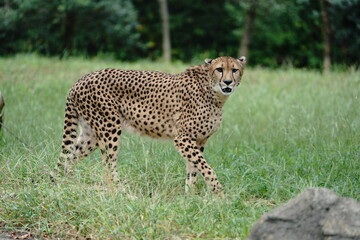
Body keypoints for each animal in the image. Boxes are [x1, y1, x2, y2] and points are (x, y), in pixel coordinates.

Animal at [53, 55, 246, 193]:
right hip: (109, 128)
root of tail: (81, 79)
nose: (228, 82)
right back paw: (120, 191)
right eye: (219, 69)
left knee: (69, 158)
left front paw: (190, 195)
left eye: (234, 70)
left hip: (91, 134)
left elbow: (194, 169)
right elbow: (205, 167)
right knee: (108, 165)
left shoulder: (198, 140)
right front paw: (218, 192)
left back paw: (66, 185)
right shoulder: (182, 138)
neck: (214, 92)